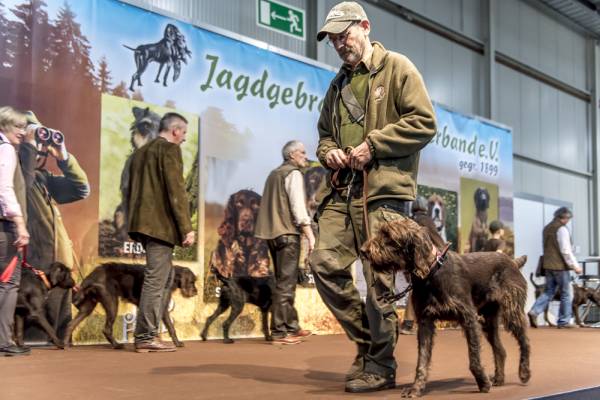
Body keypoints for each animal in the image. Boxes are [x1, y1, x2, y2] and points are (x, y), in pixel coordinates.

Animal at [64, 262, 198, 346]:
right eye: (192, 281)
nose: (196, 292)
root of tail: (93, 275)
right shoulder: (162, 308)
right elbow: (170, 326)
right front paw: (176, 343)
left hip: (87, 307)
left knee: (70, 324)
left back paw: (65, 344)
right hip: (112, 304)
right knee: (106, 329)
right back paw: (117, 345)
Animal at [360, 219, 528, 396]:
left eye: (388, 235)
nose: (363, 250)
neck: (431, 273)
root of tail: (512, 262)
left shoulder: (469, 319)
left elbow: (474, 358)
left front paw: (483, 383)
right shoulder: (425, 323)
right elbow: (422, 361)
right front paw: (416, 388)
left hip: (512, 313)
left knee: (524, 341)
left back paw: (524, 372)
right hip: (488, 320)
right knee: (500, 350)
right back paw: (499, 378)